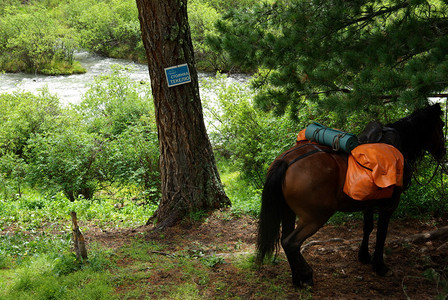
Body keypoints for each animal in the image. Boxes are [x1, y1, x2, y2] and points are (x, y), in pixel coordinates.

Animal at [258, 103, 446, 288]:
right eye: (442, 125)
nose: (443, 153)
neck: (398, 145)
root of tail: (286, 161)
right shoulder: (389, 205)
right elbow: (381, 232)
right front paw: (380, 266)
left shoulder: (369, 202)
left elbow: (368, 227)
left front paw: (364, 256)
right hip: (315, 217)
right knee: (291, 243)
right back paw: (306, 275)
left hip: (289, 212)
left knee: (285, 240)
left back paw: (297, 280)